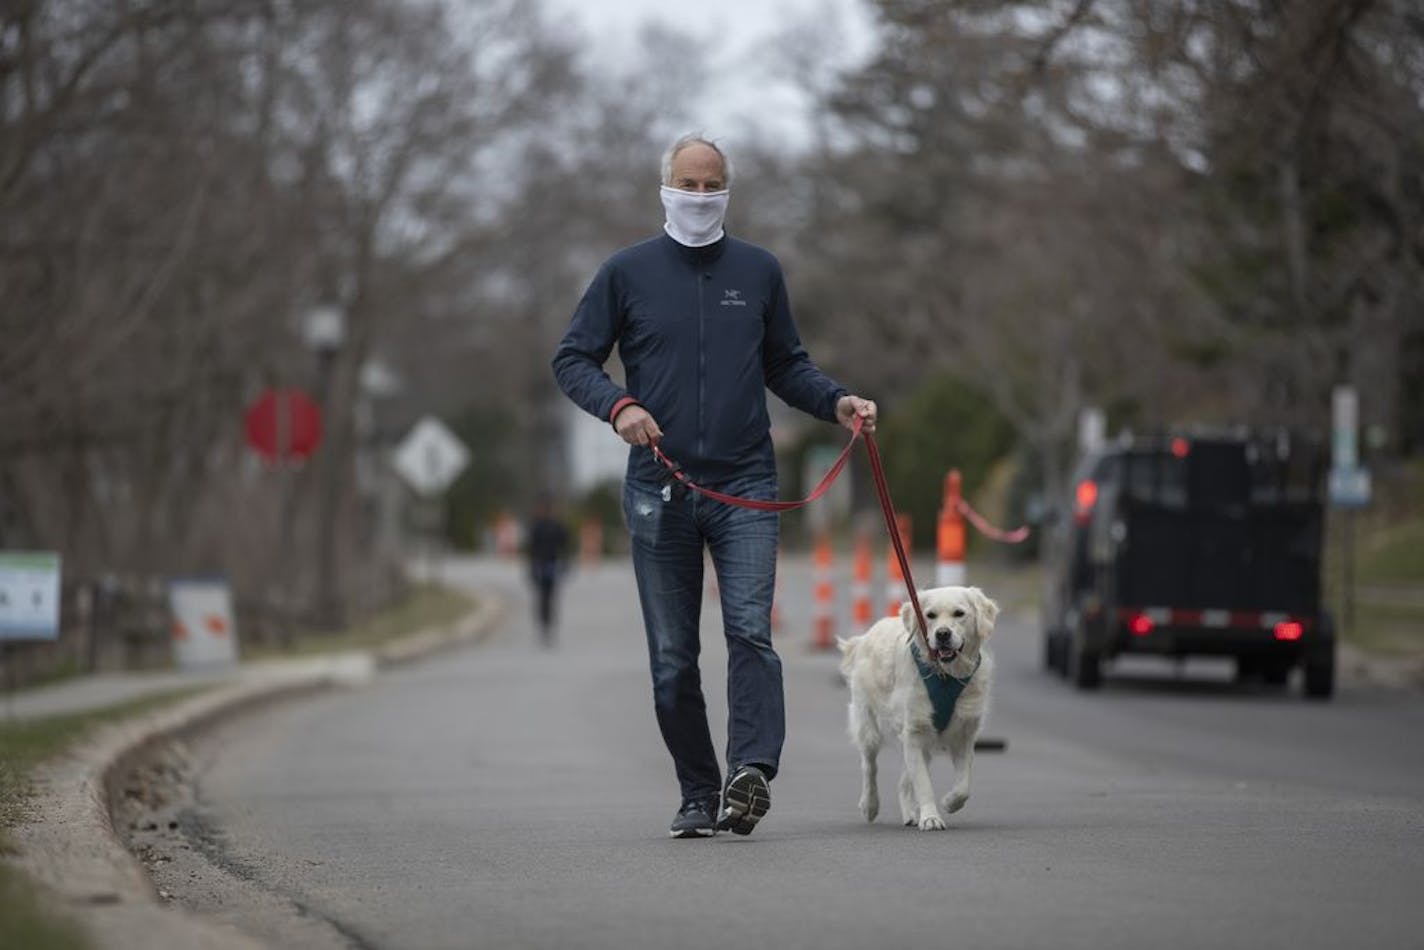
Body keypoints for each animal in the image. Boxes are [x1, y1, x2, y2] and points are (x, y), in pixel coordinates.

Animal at [831, 586, 1002, 831]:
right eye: (930, 615)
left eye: (959, 613)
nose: (942, 634)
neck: (945, 675)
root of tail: (866, 635)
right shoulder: (914, 732)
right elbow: (923, 784)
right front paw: (930, 817)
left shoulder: (963, 733)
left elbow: (963, 785)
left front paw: (949, 802)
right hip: (868, 726)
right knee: (869, 768)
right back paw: (870, 805)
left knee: (903, 781)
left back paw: (911, 813)